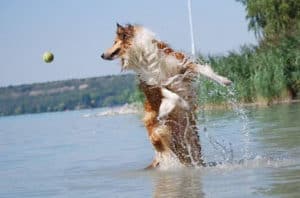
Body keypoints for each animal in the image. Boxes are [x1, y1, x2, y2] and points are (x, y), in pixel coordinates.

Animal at [102, 23, 231, 169]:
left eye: (114, 42)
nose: (102, 55)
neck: (142, 55)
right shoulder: (153, 86)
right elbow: (173, 96)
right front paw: (172, 108)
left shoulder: (181, 64)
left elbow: (204, 70)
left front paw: (224, 80)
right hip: (163, 133)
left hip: (191, 139)